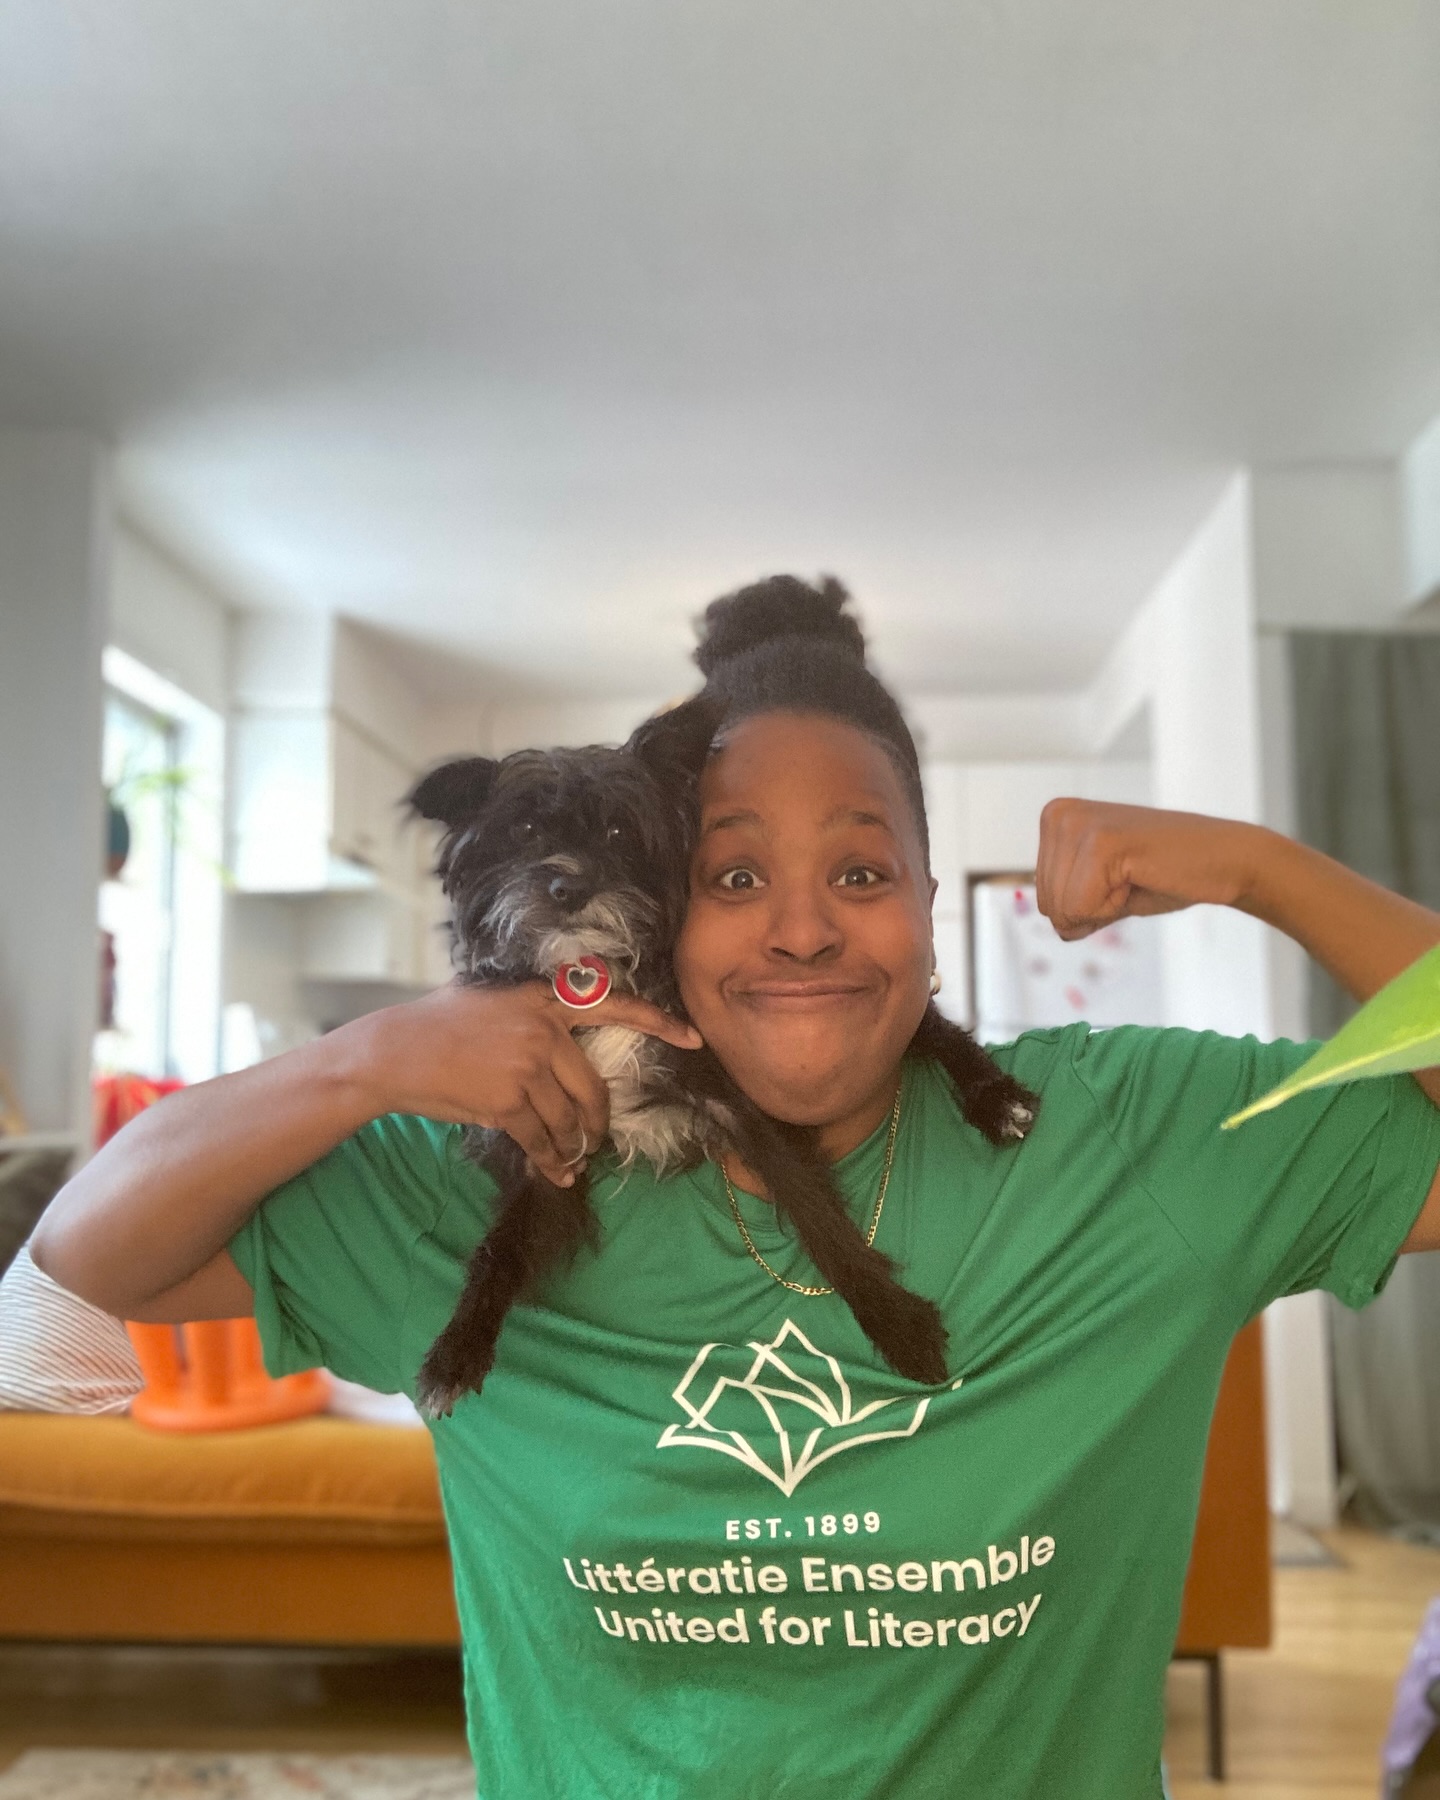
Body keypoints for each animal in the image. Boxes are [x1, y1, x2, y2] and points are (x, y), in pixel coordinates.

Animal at [407, 699, 1038, 1414]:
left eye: (620, 829)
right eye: (525, 828)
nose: (567, 885)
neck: (595, 979)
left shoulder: (741, 1103)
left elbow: (818, 1215)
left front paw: (897, 1323)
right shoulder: (551, 1143)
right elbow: (499, 1247)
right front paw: (457, 1348)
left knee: (937, 1033)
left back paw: (998, 1101)